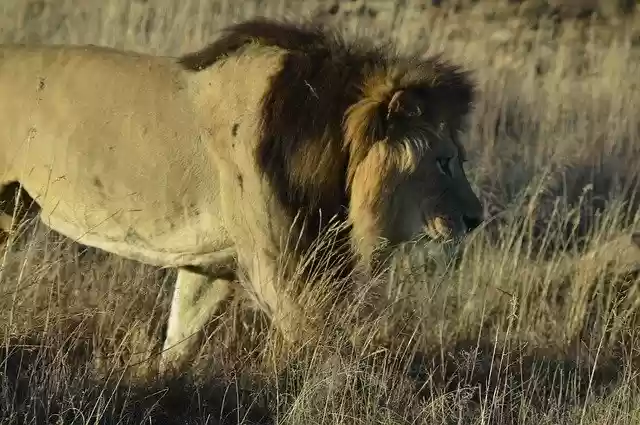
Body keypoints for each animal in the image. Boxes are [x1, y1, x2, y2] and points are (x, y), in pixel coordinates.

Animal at [0, 18, 482, 372]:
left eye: (459, 157)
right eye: (443, 161)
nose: (477, 219)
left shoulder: (212, 264)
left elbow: (180, 341)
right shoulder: (279, 267)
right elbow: (321, 349)